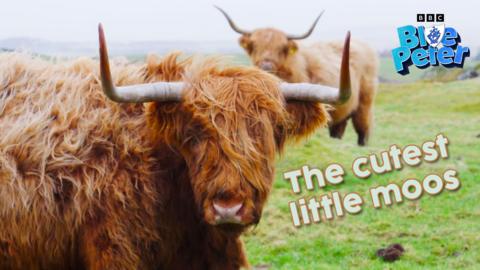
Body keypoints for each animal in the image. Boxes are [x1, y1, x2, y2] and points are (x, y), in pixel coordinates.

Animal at [218, 6, 378, 146]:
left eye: (281, 48)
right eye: (255, 46)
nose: (266, 66)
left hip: (364, 102)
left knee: (363, 126)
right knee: (339, 128)